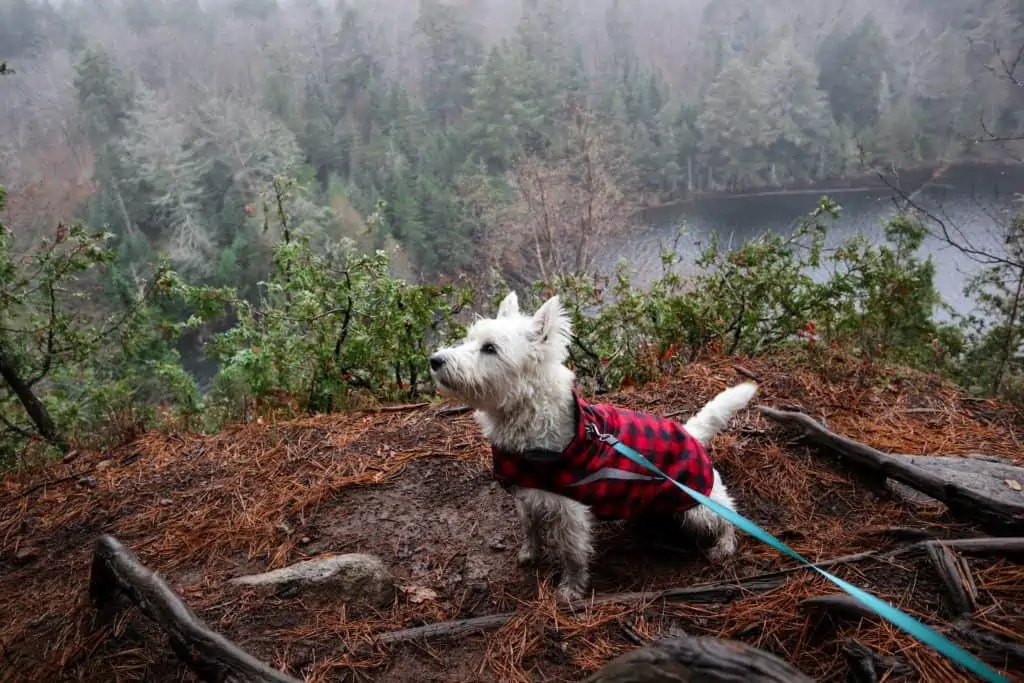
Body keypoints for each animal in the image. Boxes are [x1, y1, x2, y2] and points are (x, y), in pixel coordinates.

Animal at [428, 290, 757, 602]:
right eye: (470, 338)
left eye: (490, 348)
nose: (435, 360)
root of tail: (691, 433)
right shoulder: (526, 493)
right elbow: (530, 527)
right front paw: (530, 553)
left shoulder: (570, 509)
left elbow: (573, 553)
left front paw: (570, 590)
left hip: (696, 503)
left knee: (727, 514)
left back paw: (724, 546)